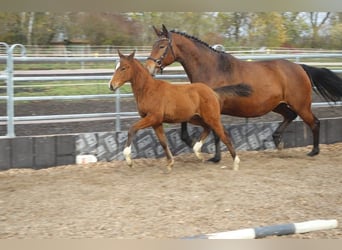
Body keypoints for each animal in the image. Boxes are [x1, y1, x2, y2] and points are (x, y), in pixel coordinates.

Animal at [108, 50, 252, 173]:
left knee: (224, 135)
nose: (111, 85)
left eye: (124, 68)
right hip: (195, 118)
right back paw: (198, 153)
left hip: (212, 118)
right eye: (116, 67)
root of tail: (213, 91)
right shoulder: (157, 122)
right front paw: (170, 164)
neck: (149, 90)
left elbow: (132, 129)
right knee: (207, 129)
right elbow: (163, 142)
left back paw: (235, 162)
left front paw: (129, 160)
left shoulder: (153, 117)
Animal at [146, 23, 342, 162]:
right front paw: (206, 151)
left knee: (314, 122)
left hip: (301, 105)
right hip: (277, 105)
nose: (149, 68)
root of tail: (300, 67)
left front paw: (214, 156)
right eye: (154, 44)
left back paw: (314, 151)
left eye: (162, 46)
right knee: (290, 116)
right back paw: (278, 140)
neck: (213, 68)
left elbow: (216, 132)